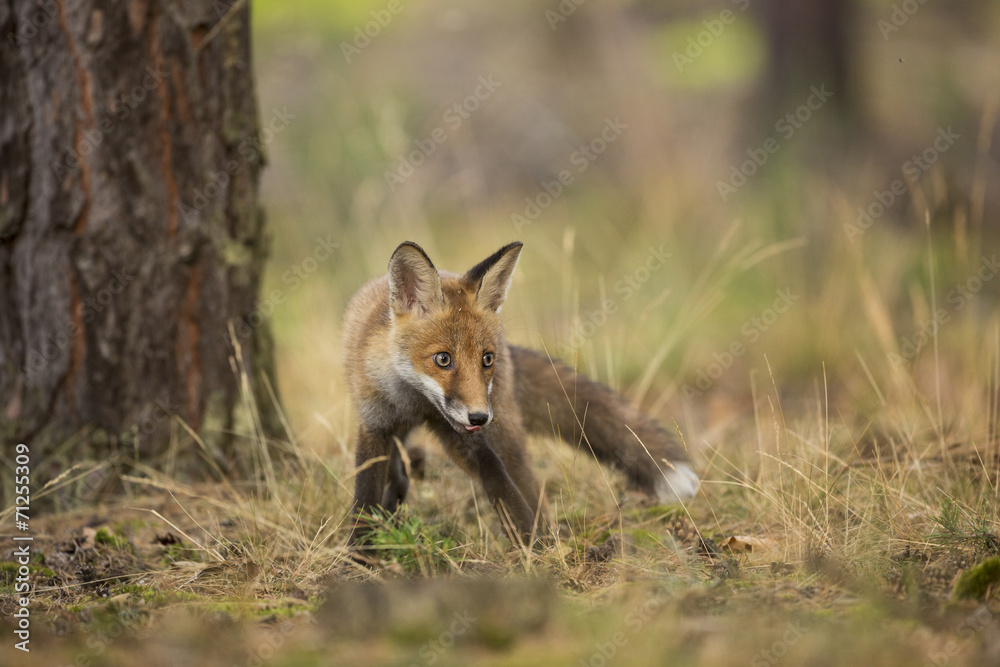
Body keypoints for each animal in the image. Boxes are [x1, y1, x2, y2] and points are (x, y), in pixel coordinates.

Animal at [343, 241, 699, 547]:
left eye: (486, 359)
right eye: (443, 359)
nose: (479, 417)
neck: (415, 402)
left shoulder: (465, 439)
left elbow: (500, 482)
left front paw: (533, 544)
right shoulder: (375, 425)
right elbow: (365, 495)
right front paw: (359, 552)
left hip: (506, 433)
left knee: (527, 481)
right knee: (398, 470)